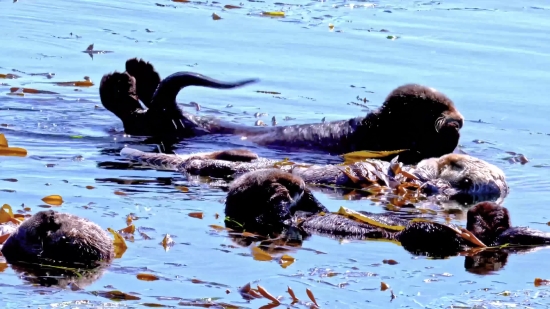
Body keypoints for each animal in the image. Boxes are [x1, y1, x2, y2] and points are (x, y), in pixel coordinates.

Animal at [101, 57, 464, 164]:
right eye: (437, 105)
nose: (457, 118)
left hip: (168, 119)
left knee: (139, 111)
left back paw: (130, 75)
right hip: (166, 121)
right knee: (136, 113)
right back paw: (126, 77)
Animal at [225, 168, 550, 255]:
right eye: (275, 181)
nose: (296, 183)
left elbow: (319, 208)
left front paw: (308, 195)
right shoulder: (266, 221)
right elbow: (279, 217)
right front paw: (280, 195)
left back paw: (490, 214)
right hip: (422, 236)